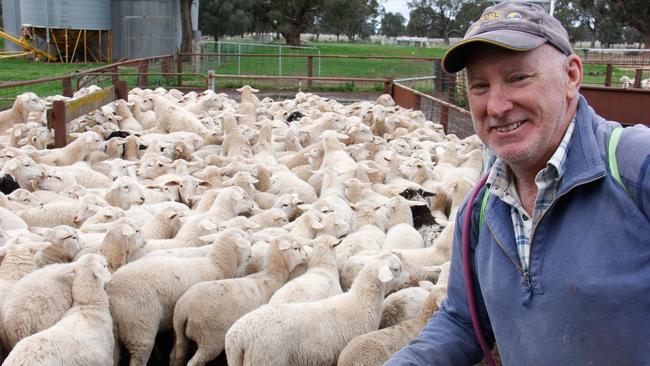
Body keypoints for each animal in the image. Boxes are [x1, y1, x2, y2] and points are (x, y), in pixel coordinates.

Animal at [106, 229, 251, 366]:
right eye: (245, 238)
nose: (250, 255)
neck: (215, 265)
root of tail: (113, 293)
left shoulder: (177, 320)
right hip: (139, 325)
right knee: (139, 356)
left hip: (114, 331)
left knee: (114, 356)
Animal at [168, 234, 308, 366]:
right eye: (296, 248)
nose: (307, 256)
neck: (272, 275)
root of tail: (184, 308)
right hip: (210, 338)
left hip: (180, 335)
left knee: (177, 354)